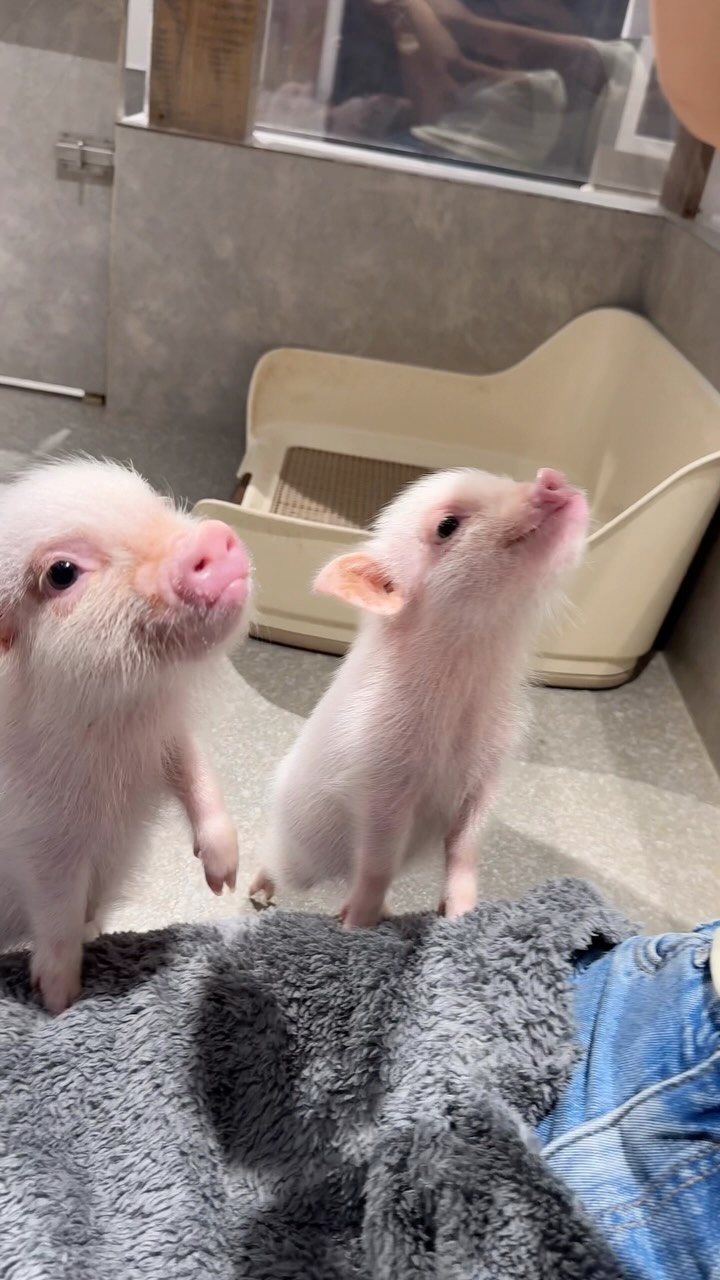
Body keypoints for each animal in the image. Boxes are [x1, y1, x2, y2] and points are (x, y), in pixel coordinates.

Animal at [0, 457, 251, 1013]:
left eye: (154, 499)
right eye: (61, 573)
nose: (213, 536)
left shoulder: (169, 736)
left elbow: (197, 773)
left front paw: (224, 879)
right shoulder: (40, 840)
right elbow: (57, 912)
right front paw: (59, 999)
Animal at [250, 467, 587, 928]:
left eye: (502, 478)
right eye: (446, 525)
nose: (550, 477)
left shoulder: (491, 767)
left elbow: (466, 849)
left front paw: (460, 915)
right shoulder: (378, 781)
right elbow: (379, 864)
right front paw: (357, 926)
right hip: (296, 856)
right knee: (271, 859)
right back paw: (256, 895)